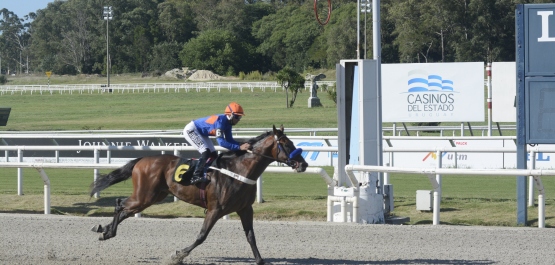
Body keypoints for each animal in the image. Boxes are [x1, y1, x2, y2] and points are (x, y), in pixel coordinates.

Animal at [89, 124, 310, 264]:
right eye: (286, 144)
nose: (304, 164)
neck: (240, 170)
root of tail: (142, 159)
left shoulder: (245, 209)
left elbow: (251, 236)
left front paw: (261, 260)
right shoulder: (215, 209)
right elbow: (202, 236)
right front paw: (178, 255)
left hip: (153, 196)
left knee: (124, 207)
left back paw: (104, 229)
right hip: (145, 196)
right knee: (120, 204)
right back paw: (107, 232)